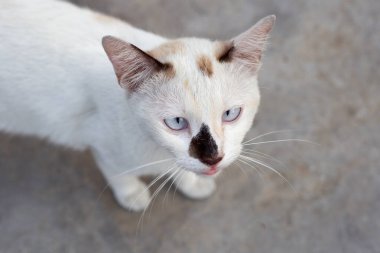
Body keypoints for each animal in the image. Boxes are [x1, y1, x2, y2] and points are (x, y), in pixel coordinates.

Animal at [0, 0, 274, 211]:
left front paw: (191, 184)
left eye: (231, 114)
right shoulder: (103, 145)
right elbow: (119, 174)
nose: (213, 158)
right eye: (176, 122)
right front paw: (132, 195)